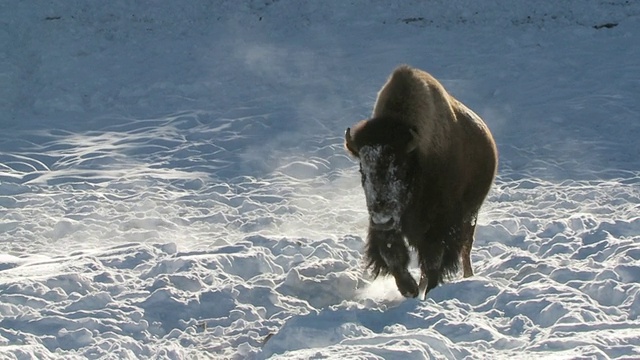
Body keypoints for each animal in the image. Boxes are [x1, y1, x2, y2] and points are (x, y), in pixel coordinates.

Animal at [344, 64, 500, 298]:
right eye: (362, 170)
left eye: (400, 167)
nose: (383, 219)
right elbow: (392, 254)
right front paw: (409, 288)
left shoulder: (438, 224)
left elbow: (434, 259)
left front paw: (425, 291)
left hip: (470, 215)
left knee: (465, 247)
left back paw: (467, 276)